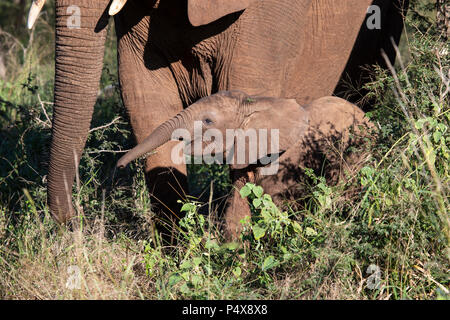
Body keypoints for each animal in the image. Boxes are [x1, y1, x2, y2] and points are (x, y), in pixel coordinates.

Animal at [116, 91, 372, 239]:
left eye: (208, 121)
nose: (119, 165)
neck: (255, 104)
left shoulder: (285, 162)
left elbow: (277, 210)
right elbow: (236, 209)